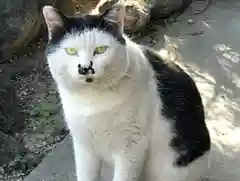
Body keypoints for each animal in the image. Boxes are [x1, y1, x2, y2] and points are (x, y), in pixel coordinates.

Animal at [42, 0, 211, 180]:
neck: (91, 101)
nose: (85, 68)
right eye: (71, 51)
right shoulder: (84, 145)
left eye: (100, 50)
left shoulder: (132, 147)